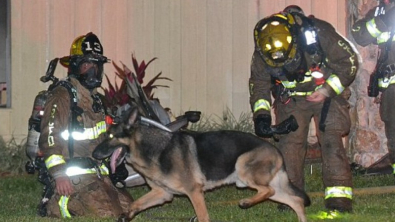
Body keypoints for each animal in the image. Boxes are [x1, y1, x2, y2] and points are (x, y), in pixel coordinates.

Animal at [92, 107, 310, 220]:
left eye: (110, 136)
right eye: (105, 135)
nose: (93, 155)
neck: (152, 150)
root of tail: (276, 149)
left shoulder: (194, 192)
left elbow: (203, 217)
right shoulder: (163, 193)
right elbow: (136, 203)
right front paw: (126, 214)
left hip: (243, 168)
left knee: (268, 191)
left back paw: (246, 202)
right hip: (270, 185)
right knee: (295, 201)